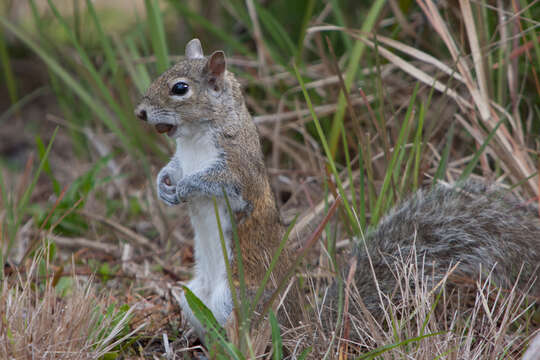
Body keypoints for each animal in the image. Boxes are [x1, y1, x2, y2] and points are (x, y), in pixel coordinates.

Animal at [135, 38, 540, 344]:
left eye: (180, 88)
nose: (140, 112)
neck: (194, 138)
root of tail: (305, 328)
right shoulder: (182, 157)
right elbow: (171, 167)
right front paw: (163, 184)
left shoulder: (239, 169)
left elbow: (218, 182)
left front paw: (186, 186)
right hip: (192, 299)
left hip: (239, 301)